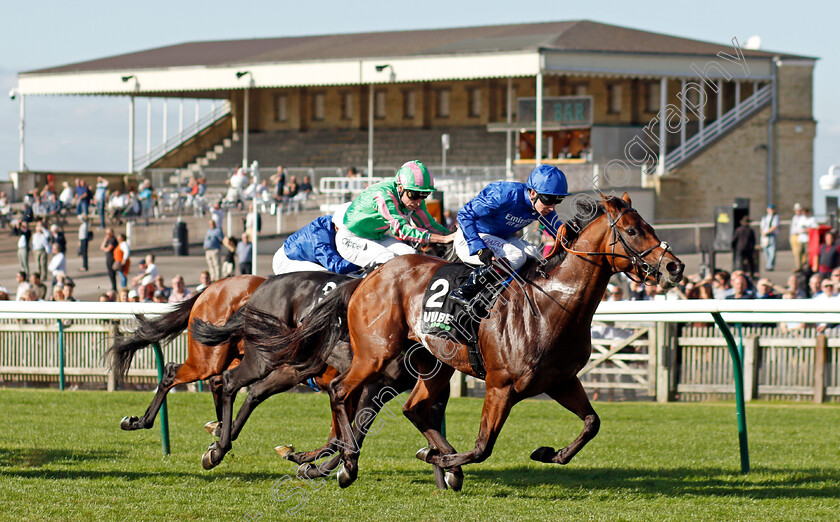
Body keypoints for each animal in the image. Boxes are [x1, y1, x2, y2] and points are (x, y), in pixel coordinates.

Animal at [280, 192, 684, 488]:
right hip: (376, 355)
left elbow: (592, 423)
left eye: (648, 225)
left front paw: (547, 453)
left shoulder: (561, 381)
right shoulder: (500, 385)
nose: (674, 266)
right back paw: (346, 464)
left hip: (432, 364)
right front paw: (441, 460)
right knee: (341, 393)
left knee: (412, 408)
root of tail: (369, 277)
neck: (550, 305)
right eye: (632, 231)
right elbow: (482, 447)